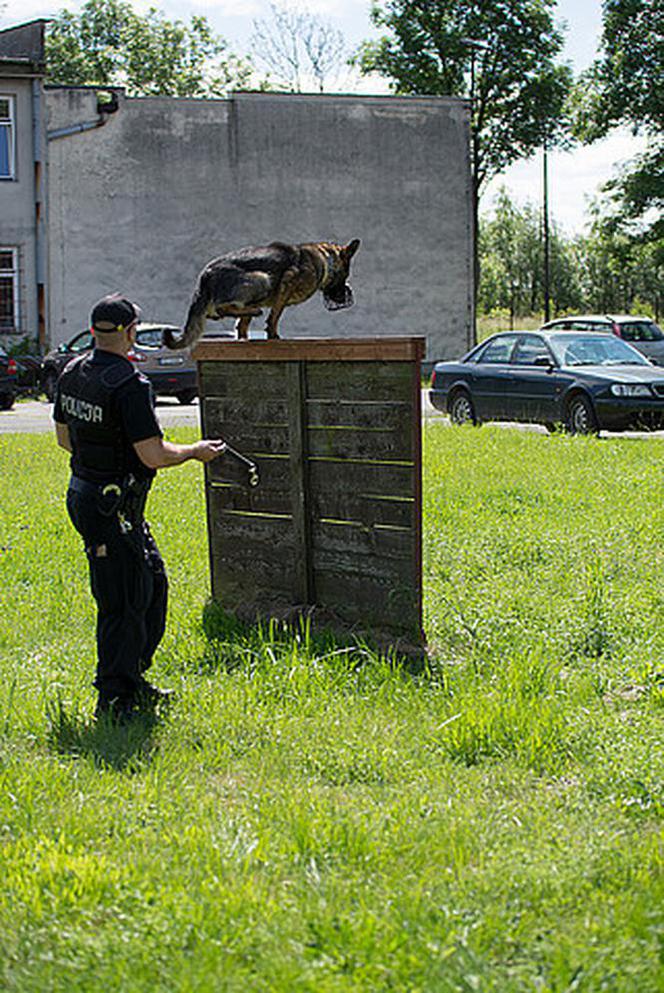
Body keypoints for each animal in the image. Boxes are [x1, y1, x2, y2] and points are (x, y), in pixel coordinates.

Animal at [164, 239, 360, 348]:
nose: (343, 298)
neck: (325, 260)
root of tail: (206, 274)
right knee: (222, 308)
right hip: (262, 278)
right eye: (346, 275)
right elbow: (275, 315)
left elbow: (242, 326)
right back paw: (254, 312)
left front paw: (243, 338)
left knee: (231, 314)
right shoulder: (287, 281)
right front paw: (273, 335)